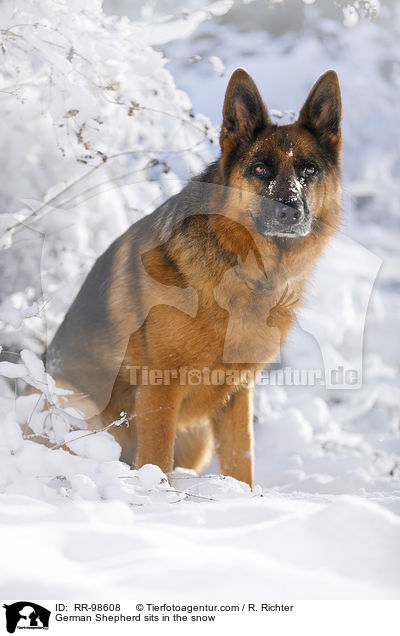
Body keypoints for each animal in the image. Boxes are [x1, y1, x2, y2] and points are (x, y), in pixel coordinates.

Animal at [46, 68, 340, 486]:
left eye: (309, 170)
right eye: (260, 169)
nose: (289, 211)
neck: (246, 275)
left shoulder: (237, 395)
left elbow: (241, 462)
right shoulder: (160, 389)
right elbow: (157, 459)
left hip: (198, 438)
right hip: (77, 403)